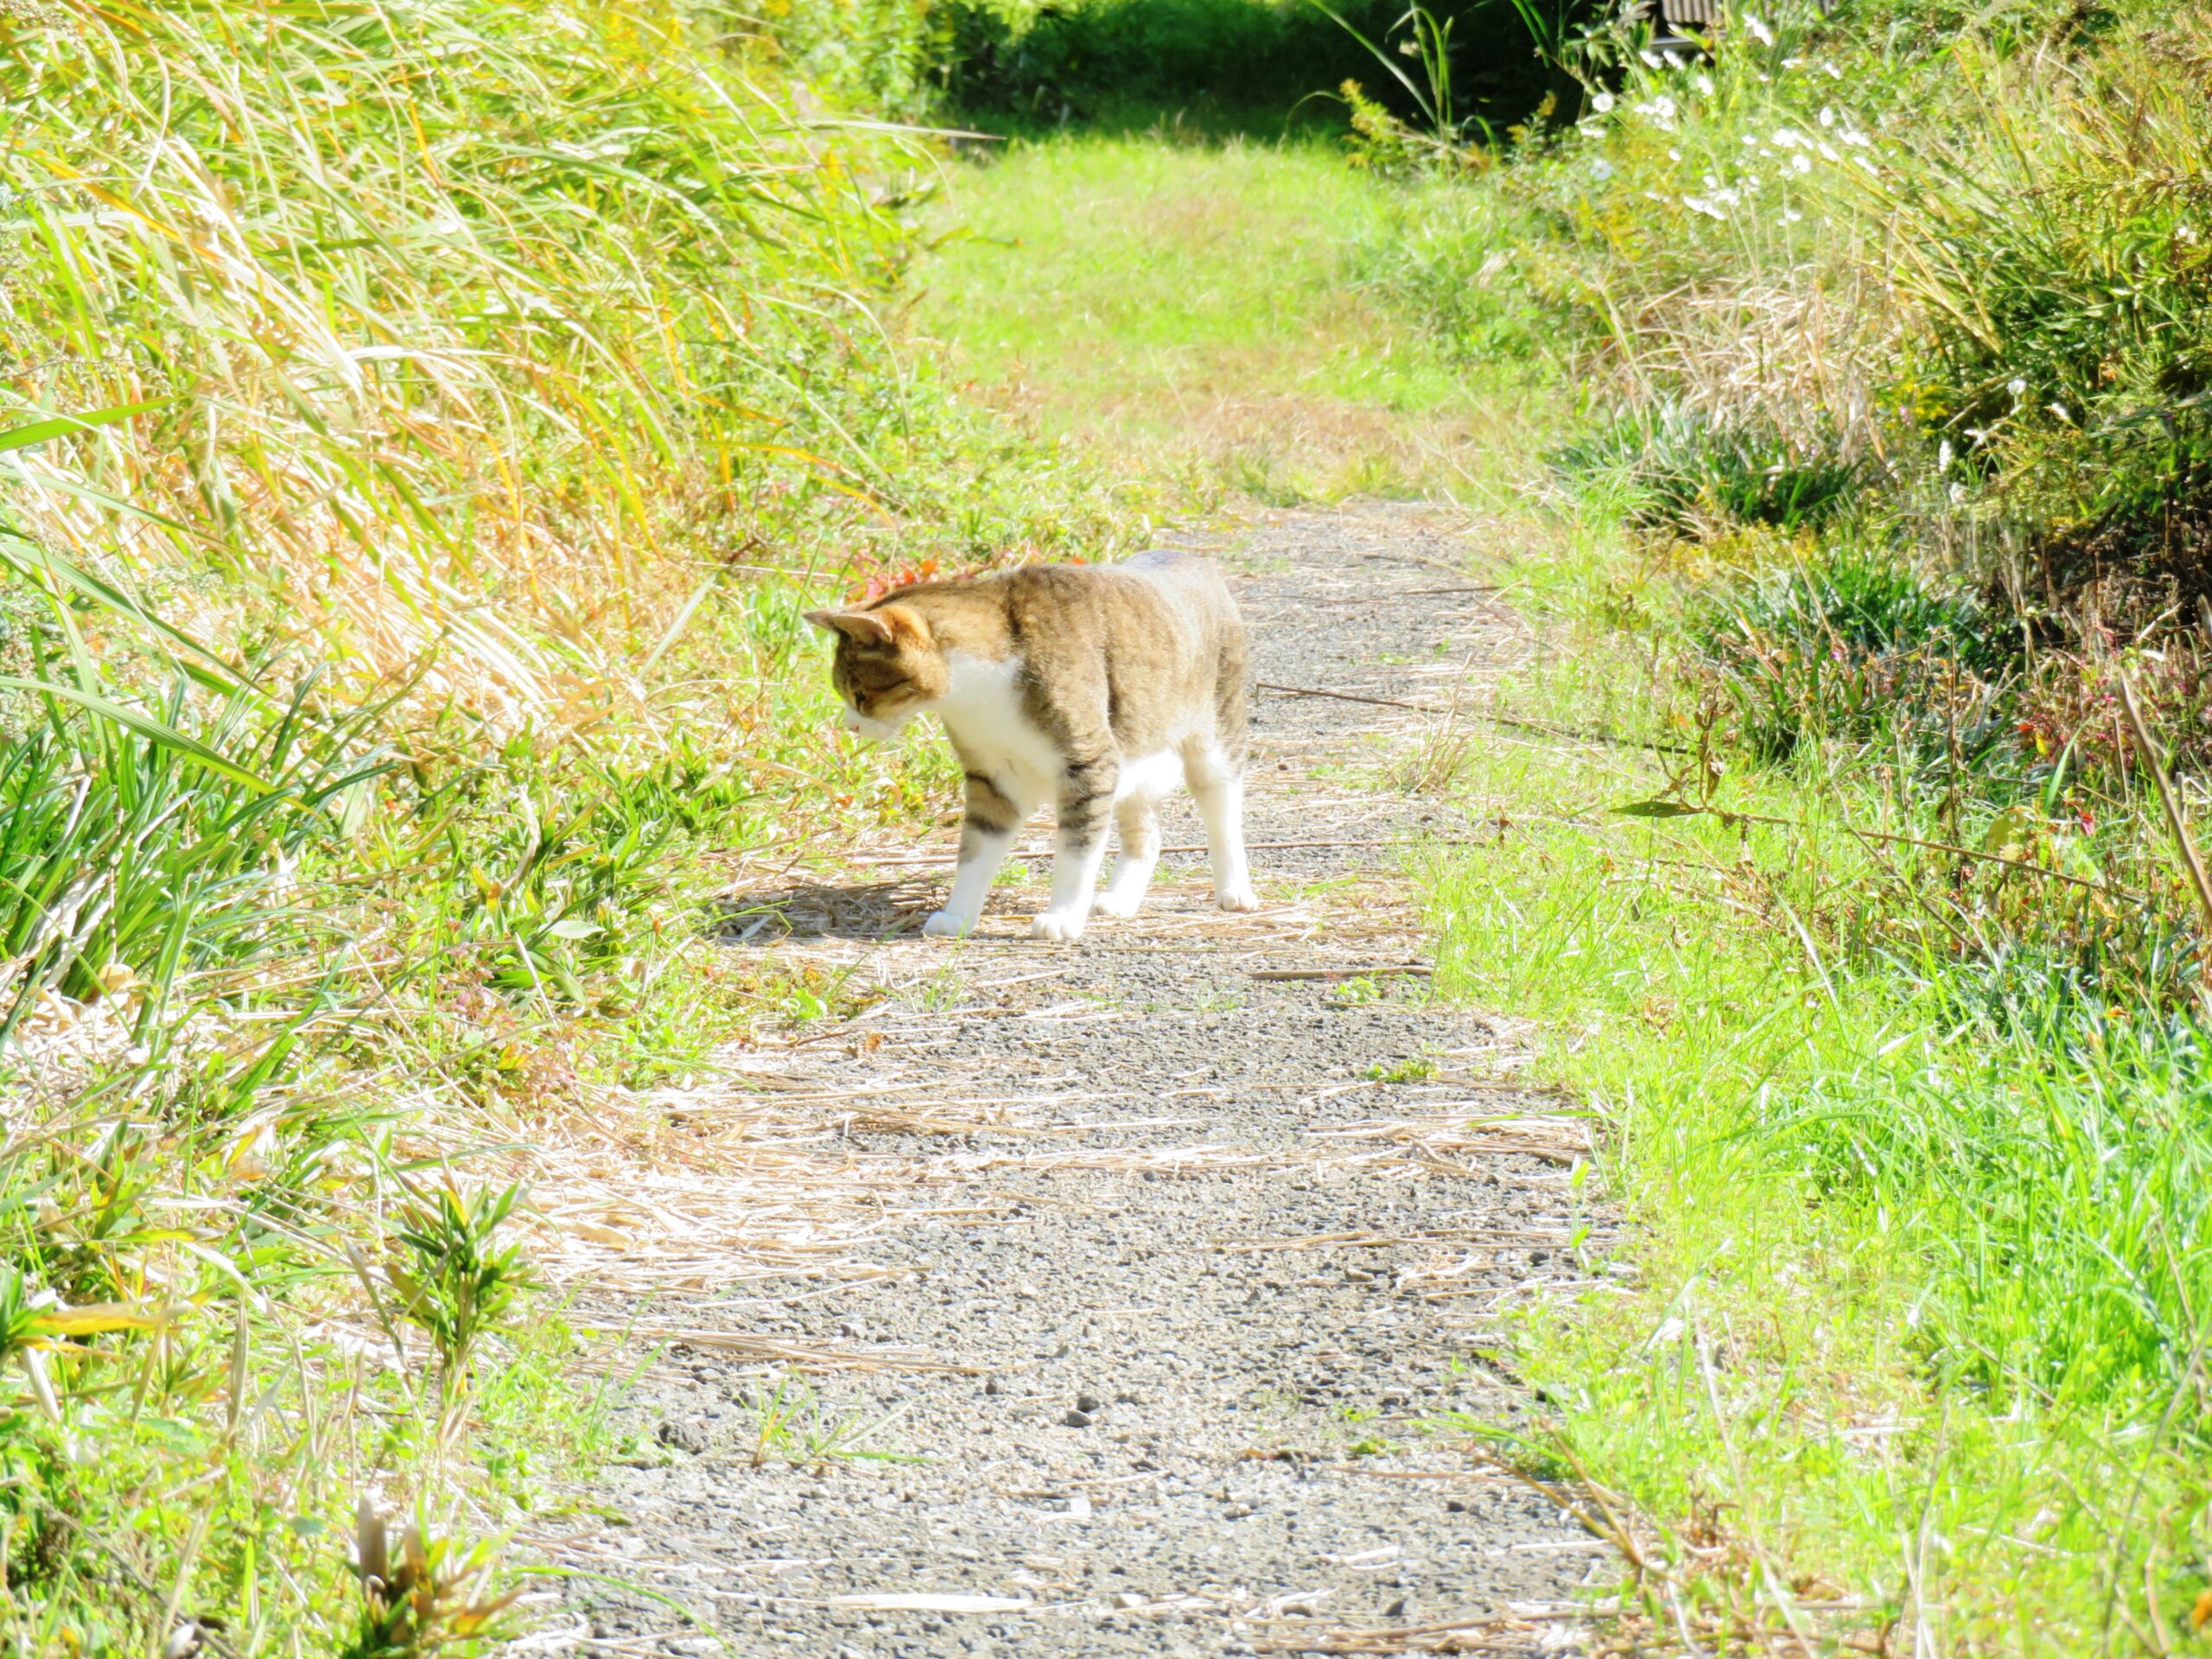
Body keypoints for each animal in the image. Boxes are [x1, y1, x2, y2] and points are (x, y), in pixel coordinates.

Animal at [800, 555, 1256, 942]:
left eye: (860, 695)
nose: (851, 725)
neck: (978, 691)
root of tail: (1191, 558)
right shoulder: (992, 776)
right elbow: (975, 849)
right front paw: (958, 914)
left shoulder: (1088, 764)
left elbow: (1077, 849)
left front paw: (1063, 916)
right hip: (1136, 753)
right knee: (1147, 832)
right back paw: (1121, 899)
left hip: (1215, 731)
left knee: (1223, 810)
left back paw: (1235, 890)